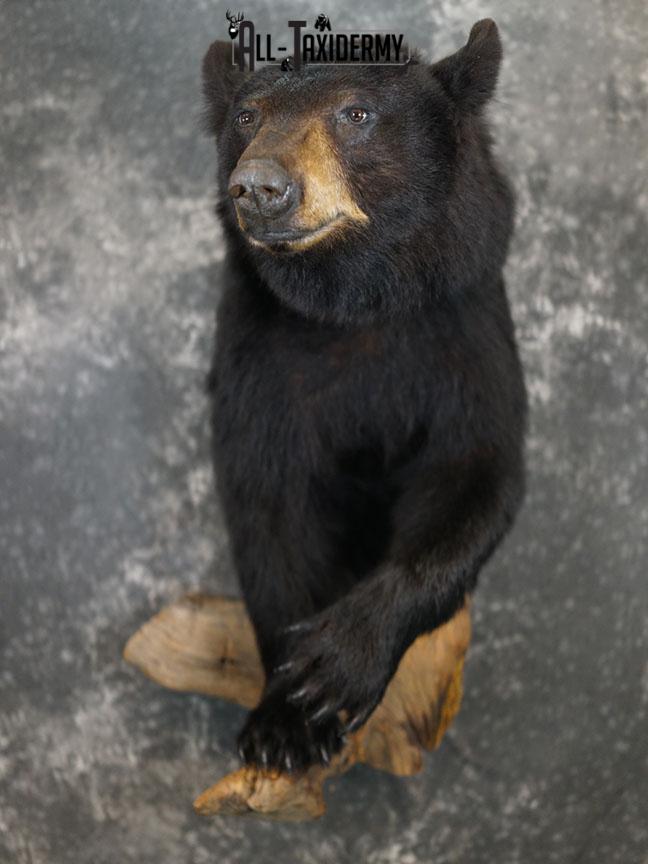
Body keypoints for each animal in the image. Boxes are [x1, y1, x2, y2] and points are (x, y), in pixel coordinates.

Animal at [201, 19, 527, 773]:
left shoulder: (462, 330)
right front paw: (283, 723)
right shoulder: (263, 352)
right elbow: (271, 500)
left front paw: (338, 662)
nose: (259, 186)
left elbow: (475, 472)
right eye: (246, 116)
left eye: (356, 114)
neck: (357, 306)